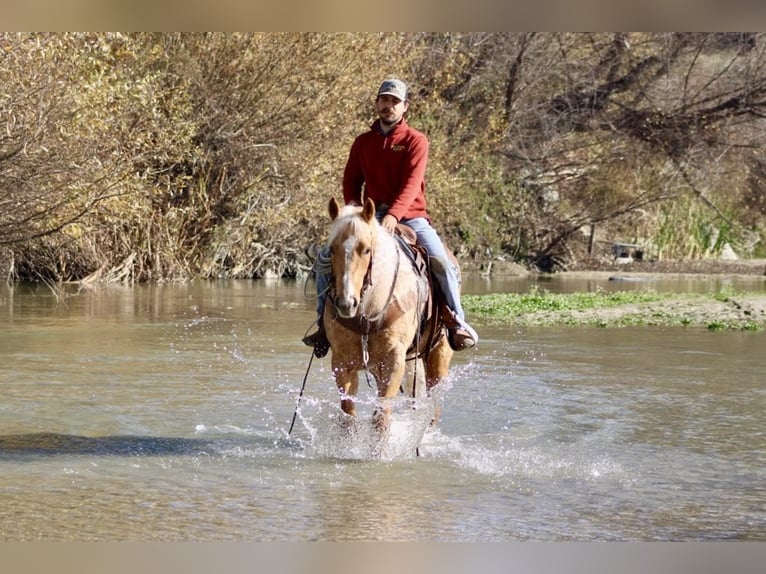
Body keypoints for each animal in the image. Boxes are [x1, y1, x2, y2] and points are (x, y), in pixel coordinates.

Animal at [322, 196, 454, 449]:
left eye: (366, 249)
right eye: (332, 249)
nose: (346, 303)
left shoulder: (394, 362)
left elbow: (382, 417)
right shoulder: (342, 363)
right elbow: (348, 415)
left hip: (439, 354)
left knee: (434, 404)